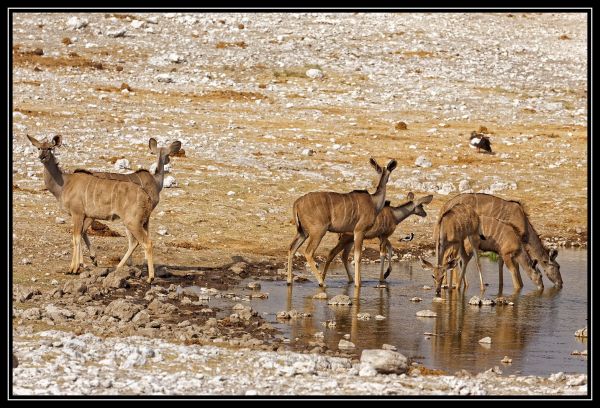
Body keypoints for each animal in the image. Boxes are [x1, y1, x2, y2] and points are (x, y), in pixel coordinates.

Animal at [27, 135, 156, 282]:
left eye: (50, 148)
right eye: (38, 148)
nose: (42, 157)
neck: (64, 184)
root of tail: (146, 197)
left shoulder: (77, 213)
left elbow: (76, 237)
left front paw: (73, 269)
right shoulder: (83, 216)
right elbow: (80, 235)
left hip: (132, 222)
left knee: (147, 242)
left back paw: (150, 278)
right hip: (134, 223)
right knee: (134, 242)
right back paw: (117, 268)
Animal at [74, 138, 180, 268]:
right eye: (168, 154)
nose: (169, 160)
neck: (156, 181)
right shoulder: (146, 214)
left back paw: (90, 260)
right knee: (82, 231)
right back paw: (86, 261)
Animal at [288, 156, 398, 286]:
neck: (374, 202)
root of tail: (297, 203)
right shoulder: (359, 230)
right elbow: (357, 256)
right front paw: (357, 283)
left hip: (302, 232)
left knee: (291, 248)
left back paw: (289, 281)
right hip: (318, 231)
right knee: (308, 252)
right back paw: (322, 282)